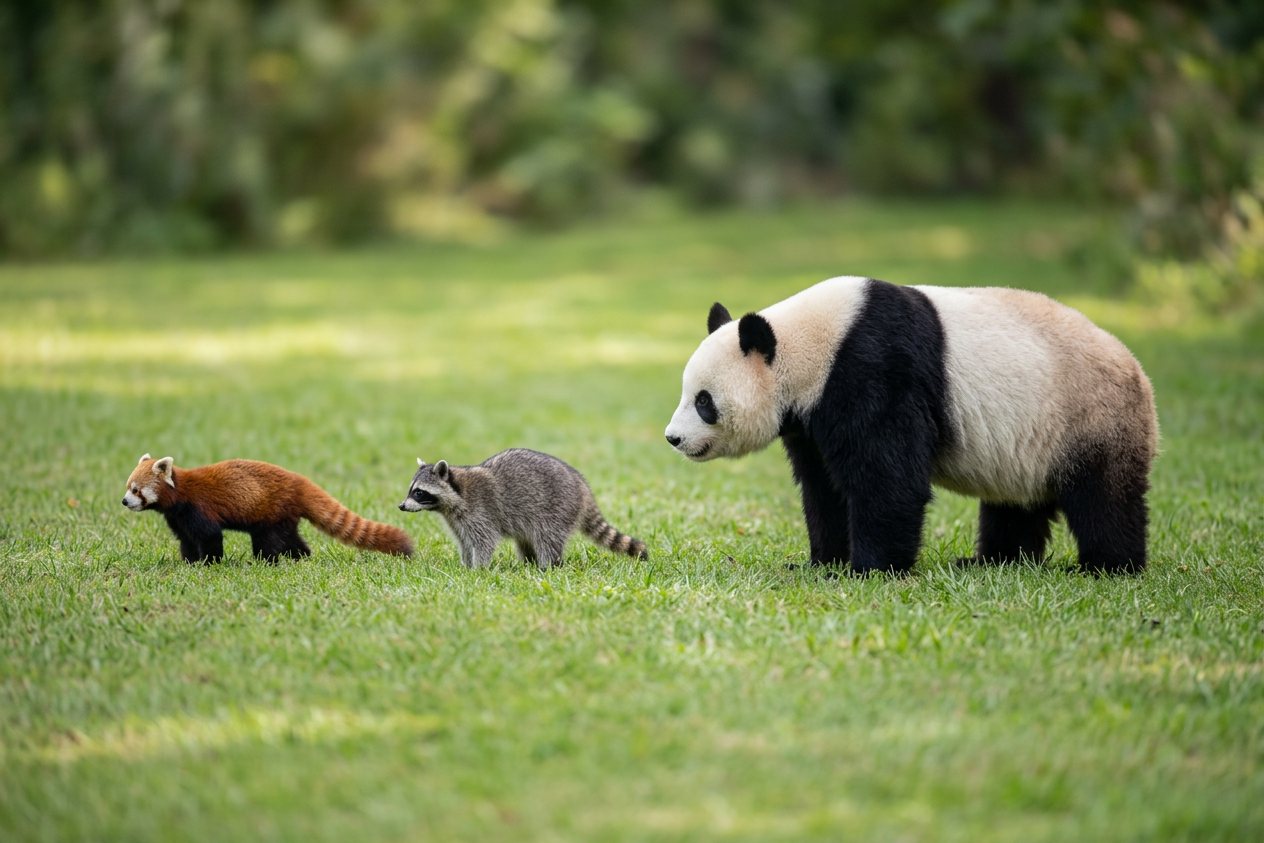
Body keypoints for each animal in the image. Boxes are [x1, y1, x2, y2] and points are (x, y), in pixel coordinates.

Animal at [398, 448, 648, 569]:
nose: (401, 506)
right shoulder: (457, 520)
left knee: (547, 539)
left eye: (418, 492)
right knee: (526, 541)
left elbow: (484, 542)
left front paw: (478, 569)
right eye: (411, 489)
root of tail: (582, 486)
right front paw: (466, 565)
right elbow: (465, 542)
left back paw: (548, 566)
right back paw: (529, 562)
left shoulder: (481, 511)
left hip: (556, 509)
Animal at [663, 276, 1158, 575]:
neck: (811, 343)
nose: (674, 438)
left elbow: (888, 477)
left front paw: (870, 568)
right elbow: (823, 487)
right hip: (1030, 438)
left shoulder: (874, 368)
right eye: (687, 393)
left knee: (1103, 497)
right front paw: (822, 563)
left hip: (1090, 415)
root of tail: (1138, 370)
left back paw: (1107, 565)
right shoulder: (812, 416)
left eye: (704, 402)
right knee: (1015, 504)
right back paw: (991, 561)